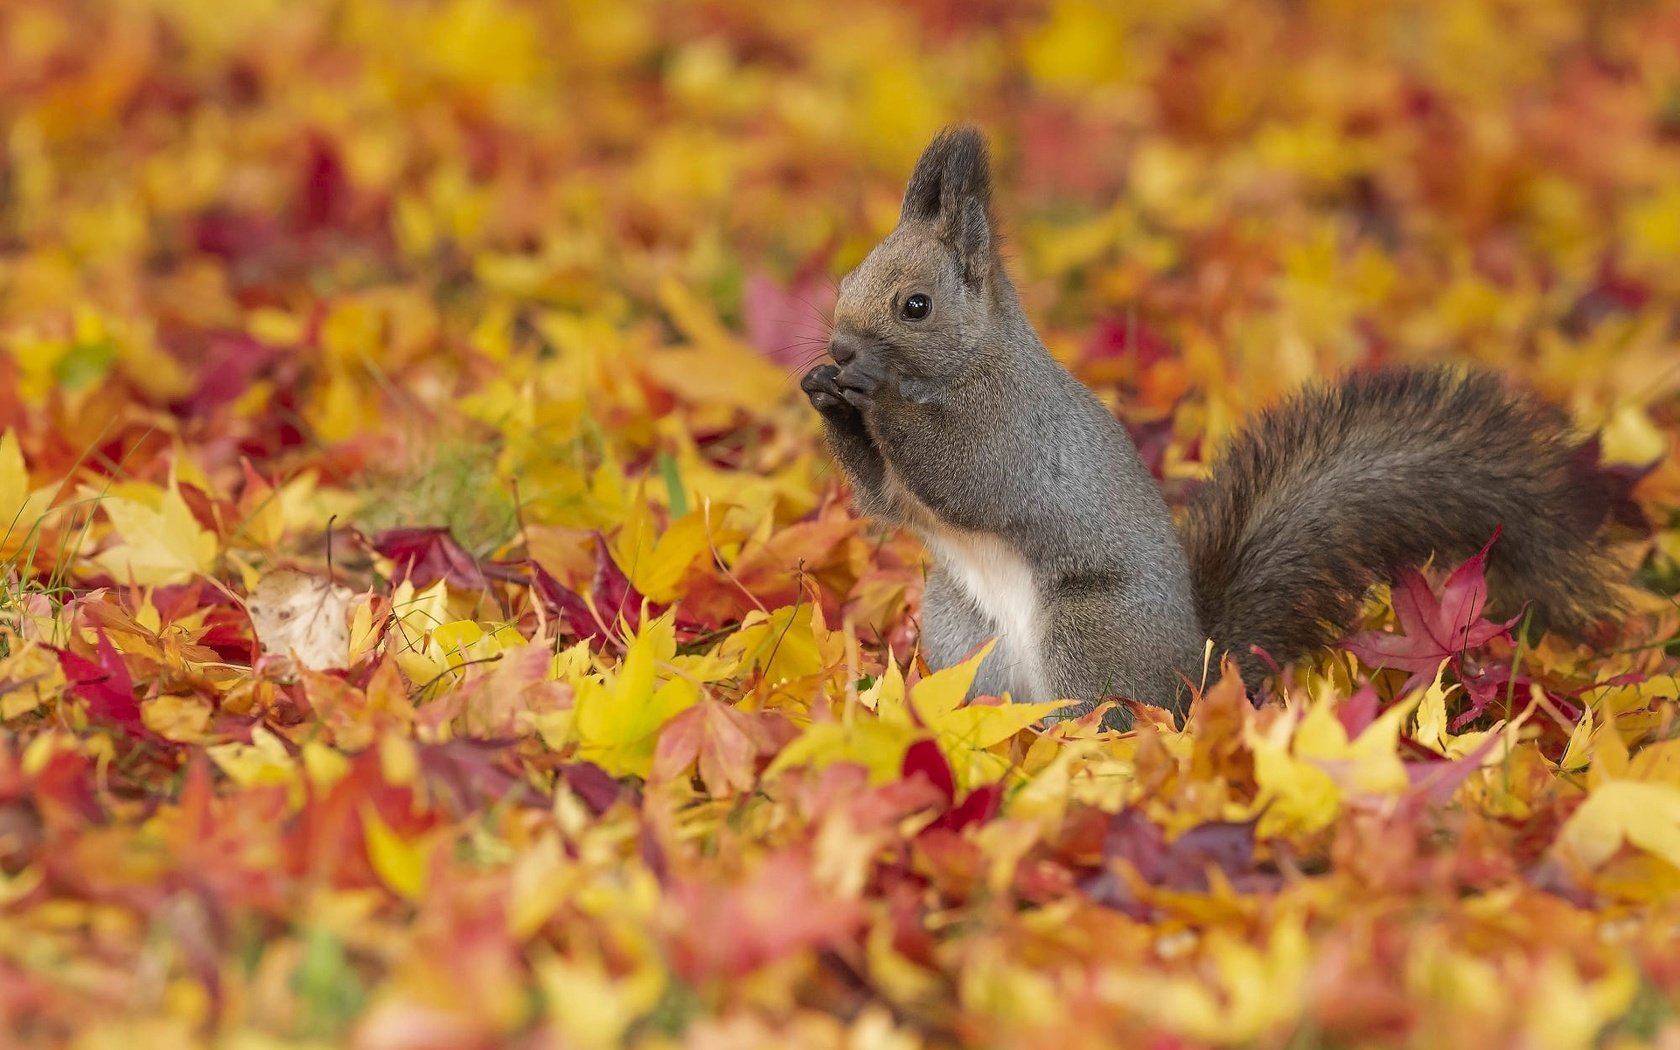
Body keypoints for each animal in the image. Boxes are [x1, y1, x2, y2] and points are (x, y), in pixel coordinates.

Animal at [806, 126, 1632, 725]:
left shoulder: (1010, 428)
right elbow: (885, 496)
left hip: (1091, 629)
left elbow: (961, 475)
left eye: (916, 306)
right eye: (844, 281)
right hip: (960, 631)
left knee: (1107, 717)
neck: (969, 364)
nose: (840, 348)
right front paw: (824, 391)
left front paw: (870, 392)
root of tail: (1201, 677)